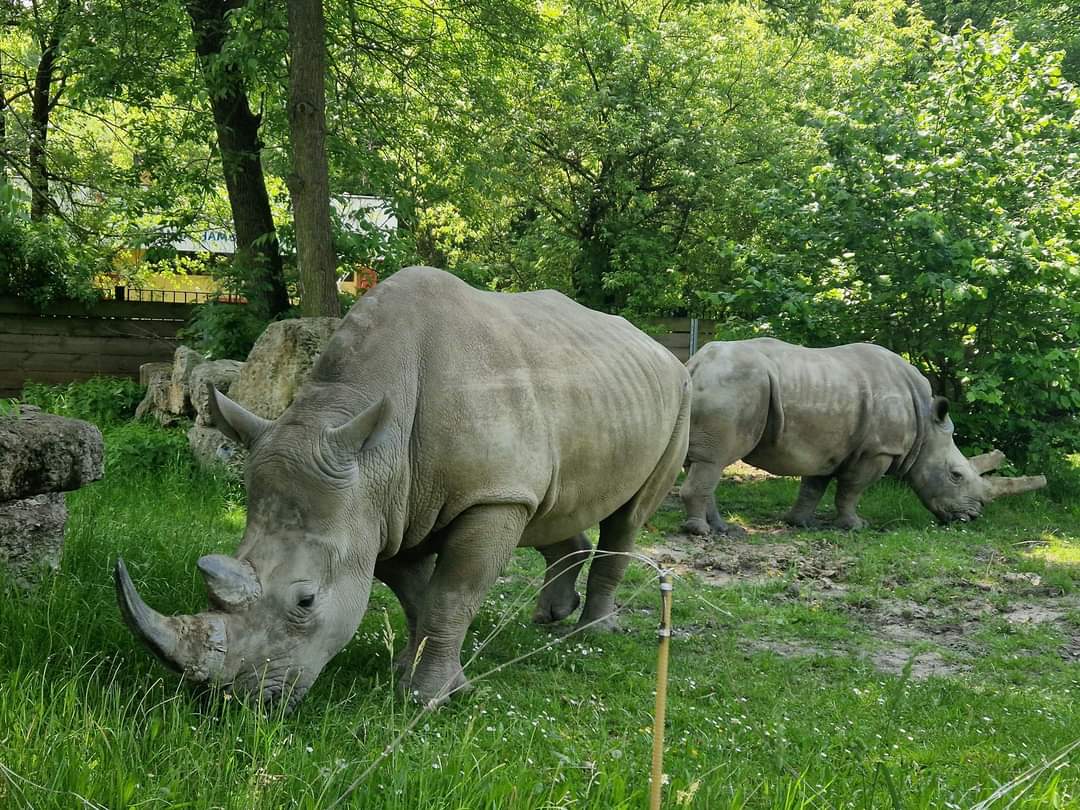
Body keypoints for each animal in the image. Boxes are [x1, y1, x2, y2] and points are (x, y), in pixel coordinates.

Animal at [116, 267, 690, 710]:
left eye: (305, 600)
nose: (239, 701)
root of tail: (659, 347)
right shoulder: (383, 509)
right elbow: (417, 595)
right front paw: (417, 675)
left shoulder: (484, 497)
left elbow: (451, 596)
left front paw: (427, 698)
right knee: (552, 507)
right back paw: (551, 617)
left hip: (678, 394)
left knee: (628, 517)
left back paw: (590, 632)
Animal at [680, 338, 1046, 535]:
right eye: (956, 475)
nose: (972, 516)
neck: (928, 429)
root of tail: (695, 362)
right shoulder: (878, 450)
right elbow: (852, 489)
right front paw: (856, 526)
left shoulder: (827, 447)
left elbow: (813, 487)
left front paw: (802, 523)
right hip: (733, 385)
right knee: (714, 460)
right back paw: (701, 531)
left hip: (725, 385)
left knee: (707, 463)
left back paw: (723, 530)